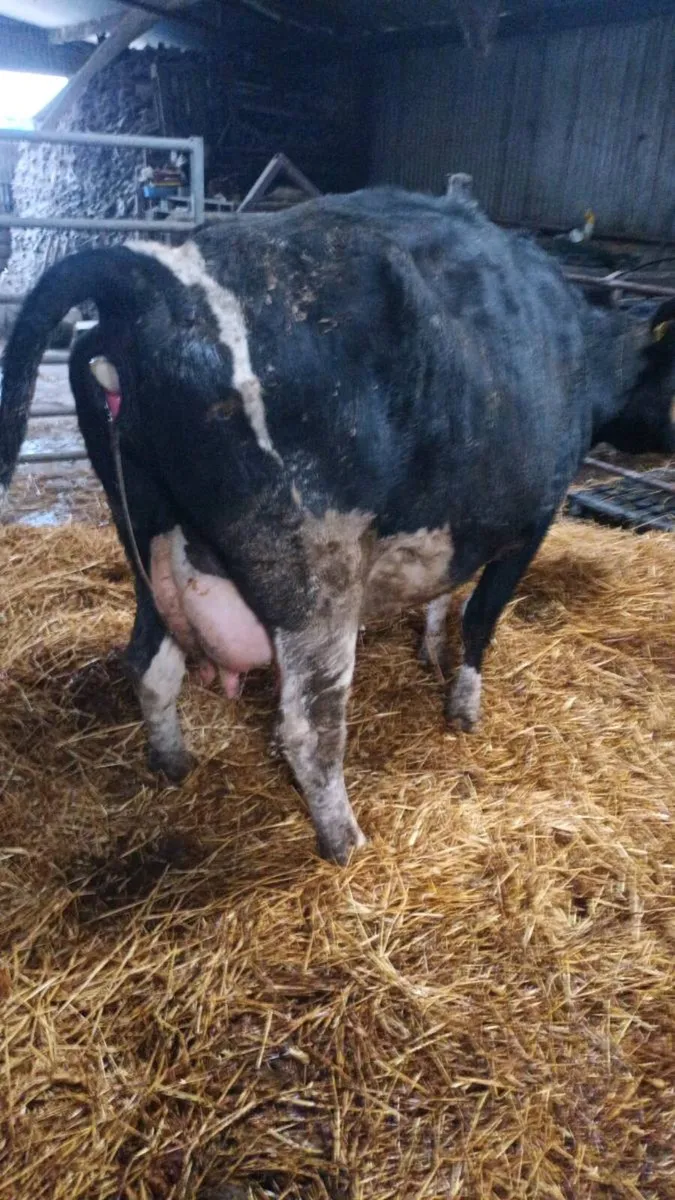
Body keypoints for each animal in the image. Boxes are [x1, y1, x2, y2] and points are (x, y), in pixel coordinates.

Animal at [1, 187, 673, 864]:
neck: (581, 349)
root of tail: (150, 274)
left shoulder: (456, 517)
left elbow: (442, 593)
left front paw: (430, 648)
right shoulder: (532, 518)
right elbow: (480, 619)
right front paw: (463, 707)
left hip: (146, 537)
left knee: (149, 664)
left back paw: (173, 762)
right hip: (316, 569)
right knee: (310, 726)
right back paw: (346, 841)